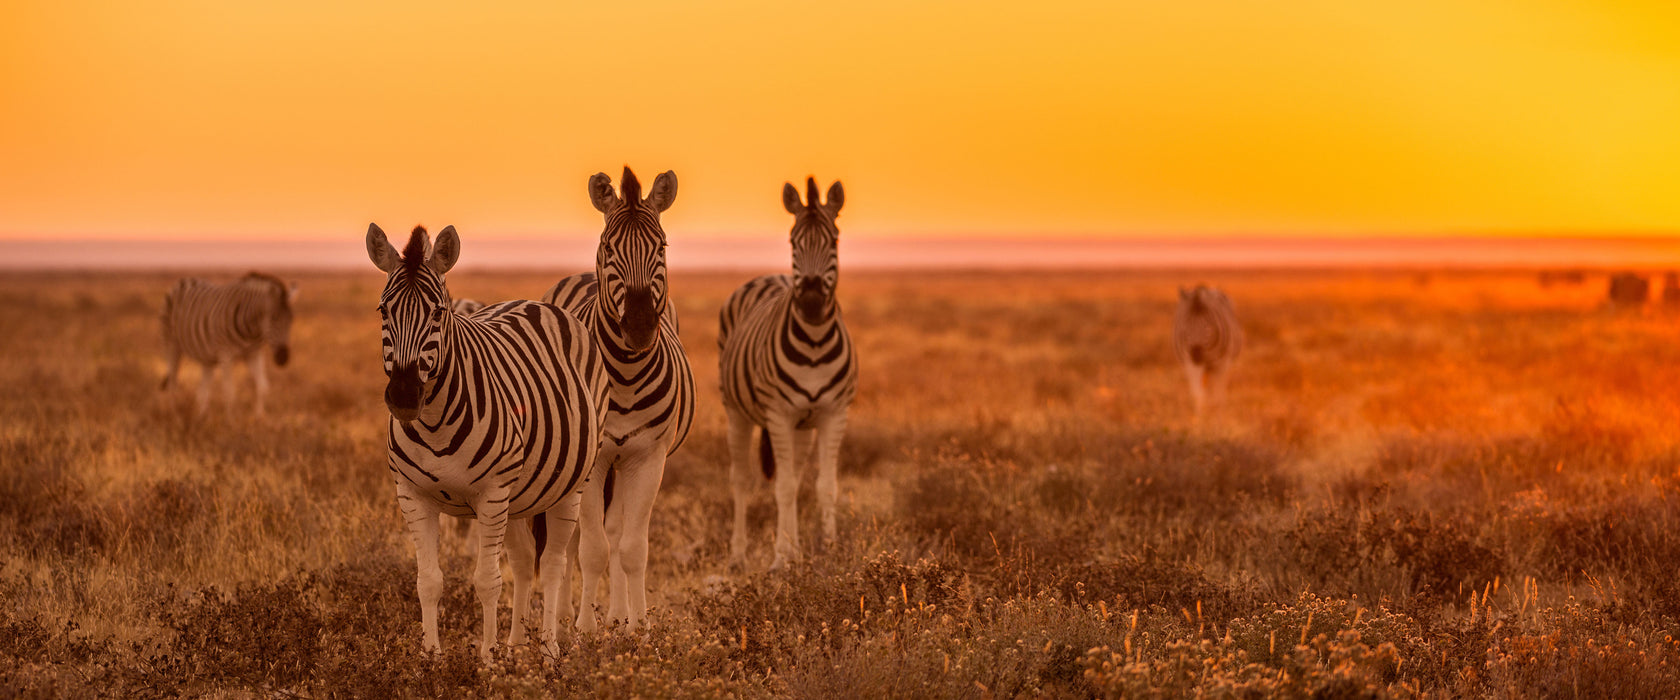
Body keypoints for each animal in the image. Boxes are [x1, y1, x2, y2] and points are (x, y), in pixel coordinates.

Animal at [160, 271, 299, 414]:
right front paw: (231, 419)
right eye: (273, 319)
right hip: (171, 344)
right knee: (172, 383)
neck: (251, 330)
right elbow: (229, 392)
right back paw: (175, 415)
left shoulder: (253, 354)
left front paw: (260, 416)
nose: (283, 358)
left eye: (291, 320)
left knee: (203, 391)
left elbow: (262, 386)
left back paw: (202, 416)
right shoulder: (226, 355)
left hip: (206, 357)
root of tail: (182, 281)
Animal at [367, 221, 611, 654]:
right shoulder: (411, 495)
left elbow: (487, 581)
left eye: (438, 312)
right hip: (518, 496)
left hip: (570, 485)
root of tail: (534, 302)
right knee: (524, 560)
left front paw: (488, 659)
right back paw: (517, 648)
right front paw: (431, 657)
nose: (404, 396)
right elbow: (428, 581)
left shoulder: (491, 493)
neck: (434, 423)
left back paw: (549, 650)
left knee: (553, 564)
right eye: (383, 310)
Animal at [540, 166, 692, 631]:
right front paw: (584, 630)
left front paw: (637, 628)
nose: (640, 326)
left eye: (662, 246)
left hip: (625, 464)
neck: (624, 375)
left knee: (617, 530)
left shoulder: (649, 457)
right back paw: (568, 616)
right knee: (574, 538)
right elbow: (591, 549)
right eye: (608, 247)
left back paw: (618, 616)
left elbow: (631, 548)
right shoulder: (594, 460)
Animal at [719, 176, 860, 567]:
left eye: (834, 240)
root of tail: (770, 275)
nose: (810, 302)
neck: (813, 343)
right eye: (793, 242)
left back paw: (794, 546)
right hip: (737, 412)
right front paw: (781, 558)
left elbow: (824, 486)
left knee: (795, 478)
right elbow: (781, 487)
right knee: (741, 478)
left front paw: (828, 549)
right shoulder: (779, 414)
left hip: (802, 426)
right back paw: (739, 554)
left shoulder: (833, 413)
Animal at [1176, 283, 1243, 414]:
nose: (1196, 355)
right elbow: (1197, 394)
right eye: (1186, 325)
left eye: (1207, 326)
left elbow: (1218, 393)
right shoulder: (1191, 364)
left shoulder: (1222, 364)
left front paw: (1218, 413)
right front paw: (1200, 415)